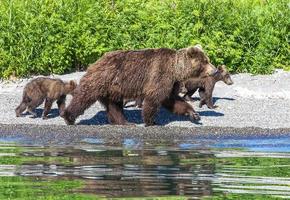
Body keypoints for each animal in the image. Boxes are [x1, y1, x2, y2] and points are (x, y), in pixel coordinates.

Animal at [61, 46, 215, 126]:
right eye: (205, 61)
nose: (214, 70)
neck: (175, 70)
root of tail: (95, 62)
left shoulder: (171, 83)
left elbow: (172, 100)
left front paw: (194, 114)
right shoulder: (160, 74)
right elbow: (154, 98)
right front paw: (151, 121)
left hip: (113, 88)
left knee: (114, 105)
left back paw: (124, 122)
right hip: (101, 79)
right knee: (84, 97)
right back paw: (68, 117)